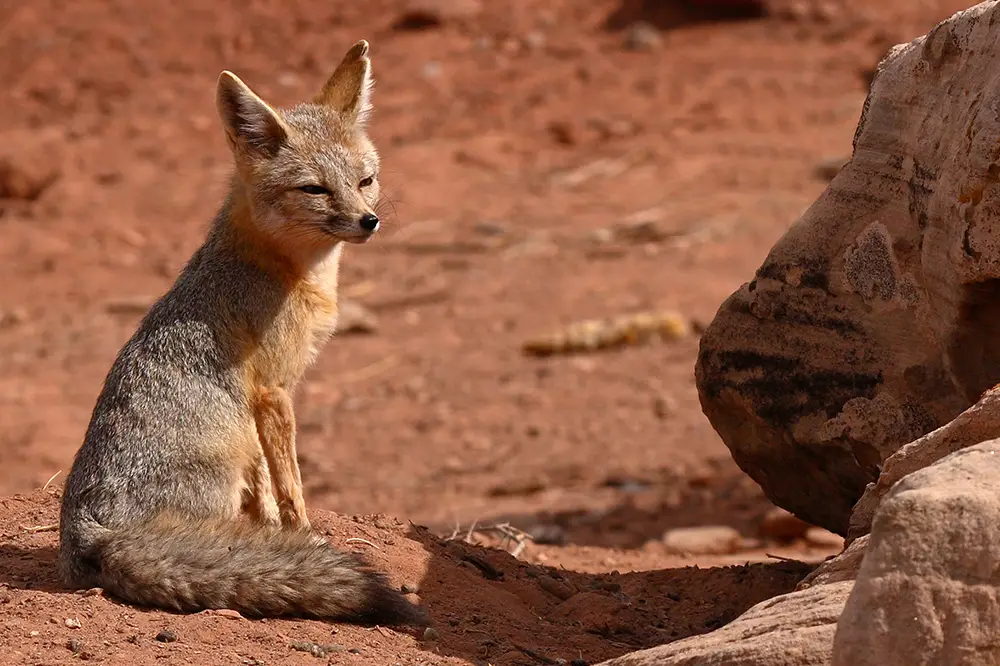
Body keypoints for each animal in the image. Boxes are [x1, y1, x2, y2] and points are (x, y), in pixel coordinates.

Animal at [58, 40, 426, 624]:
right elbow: (290, 484)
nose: (369, 221)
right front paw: (304, 536)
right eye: (315, 189)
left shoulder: (255, 405)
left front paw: (275, 534)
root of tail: (92, 532)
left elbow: (266, 491)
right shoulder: (273, 389)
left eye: (365, 180)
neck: (288, 272)